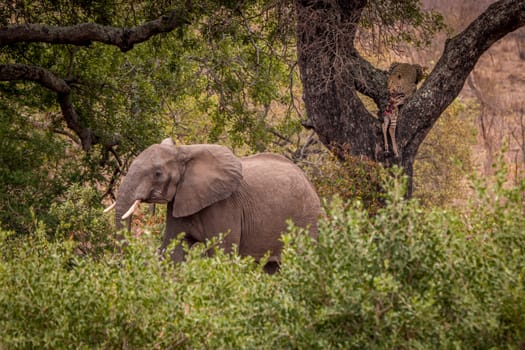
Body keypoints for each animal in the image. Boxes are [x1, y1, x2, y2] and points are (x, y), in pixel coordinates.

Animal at [106, 138, 320, 272]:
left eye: (158, 173)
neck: (184, 151)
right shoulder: (180, 201)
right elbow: (173, 251)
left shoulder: (224, 205)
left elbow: (220, 253)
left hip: (306, 219)